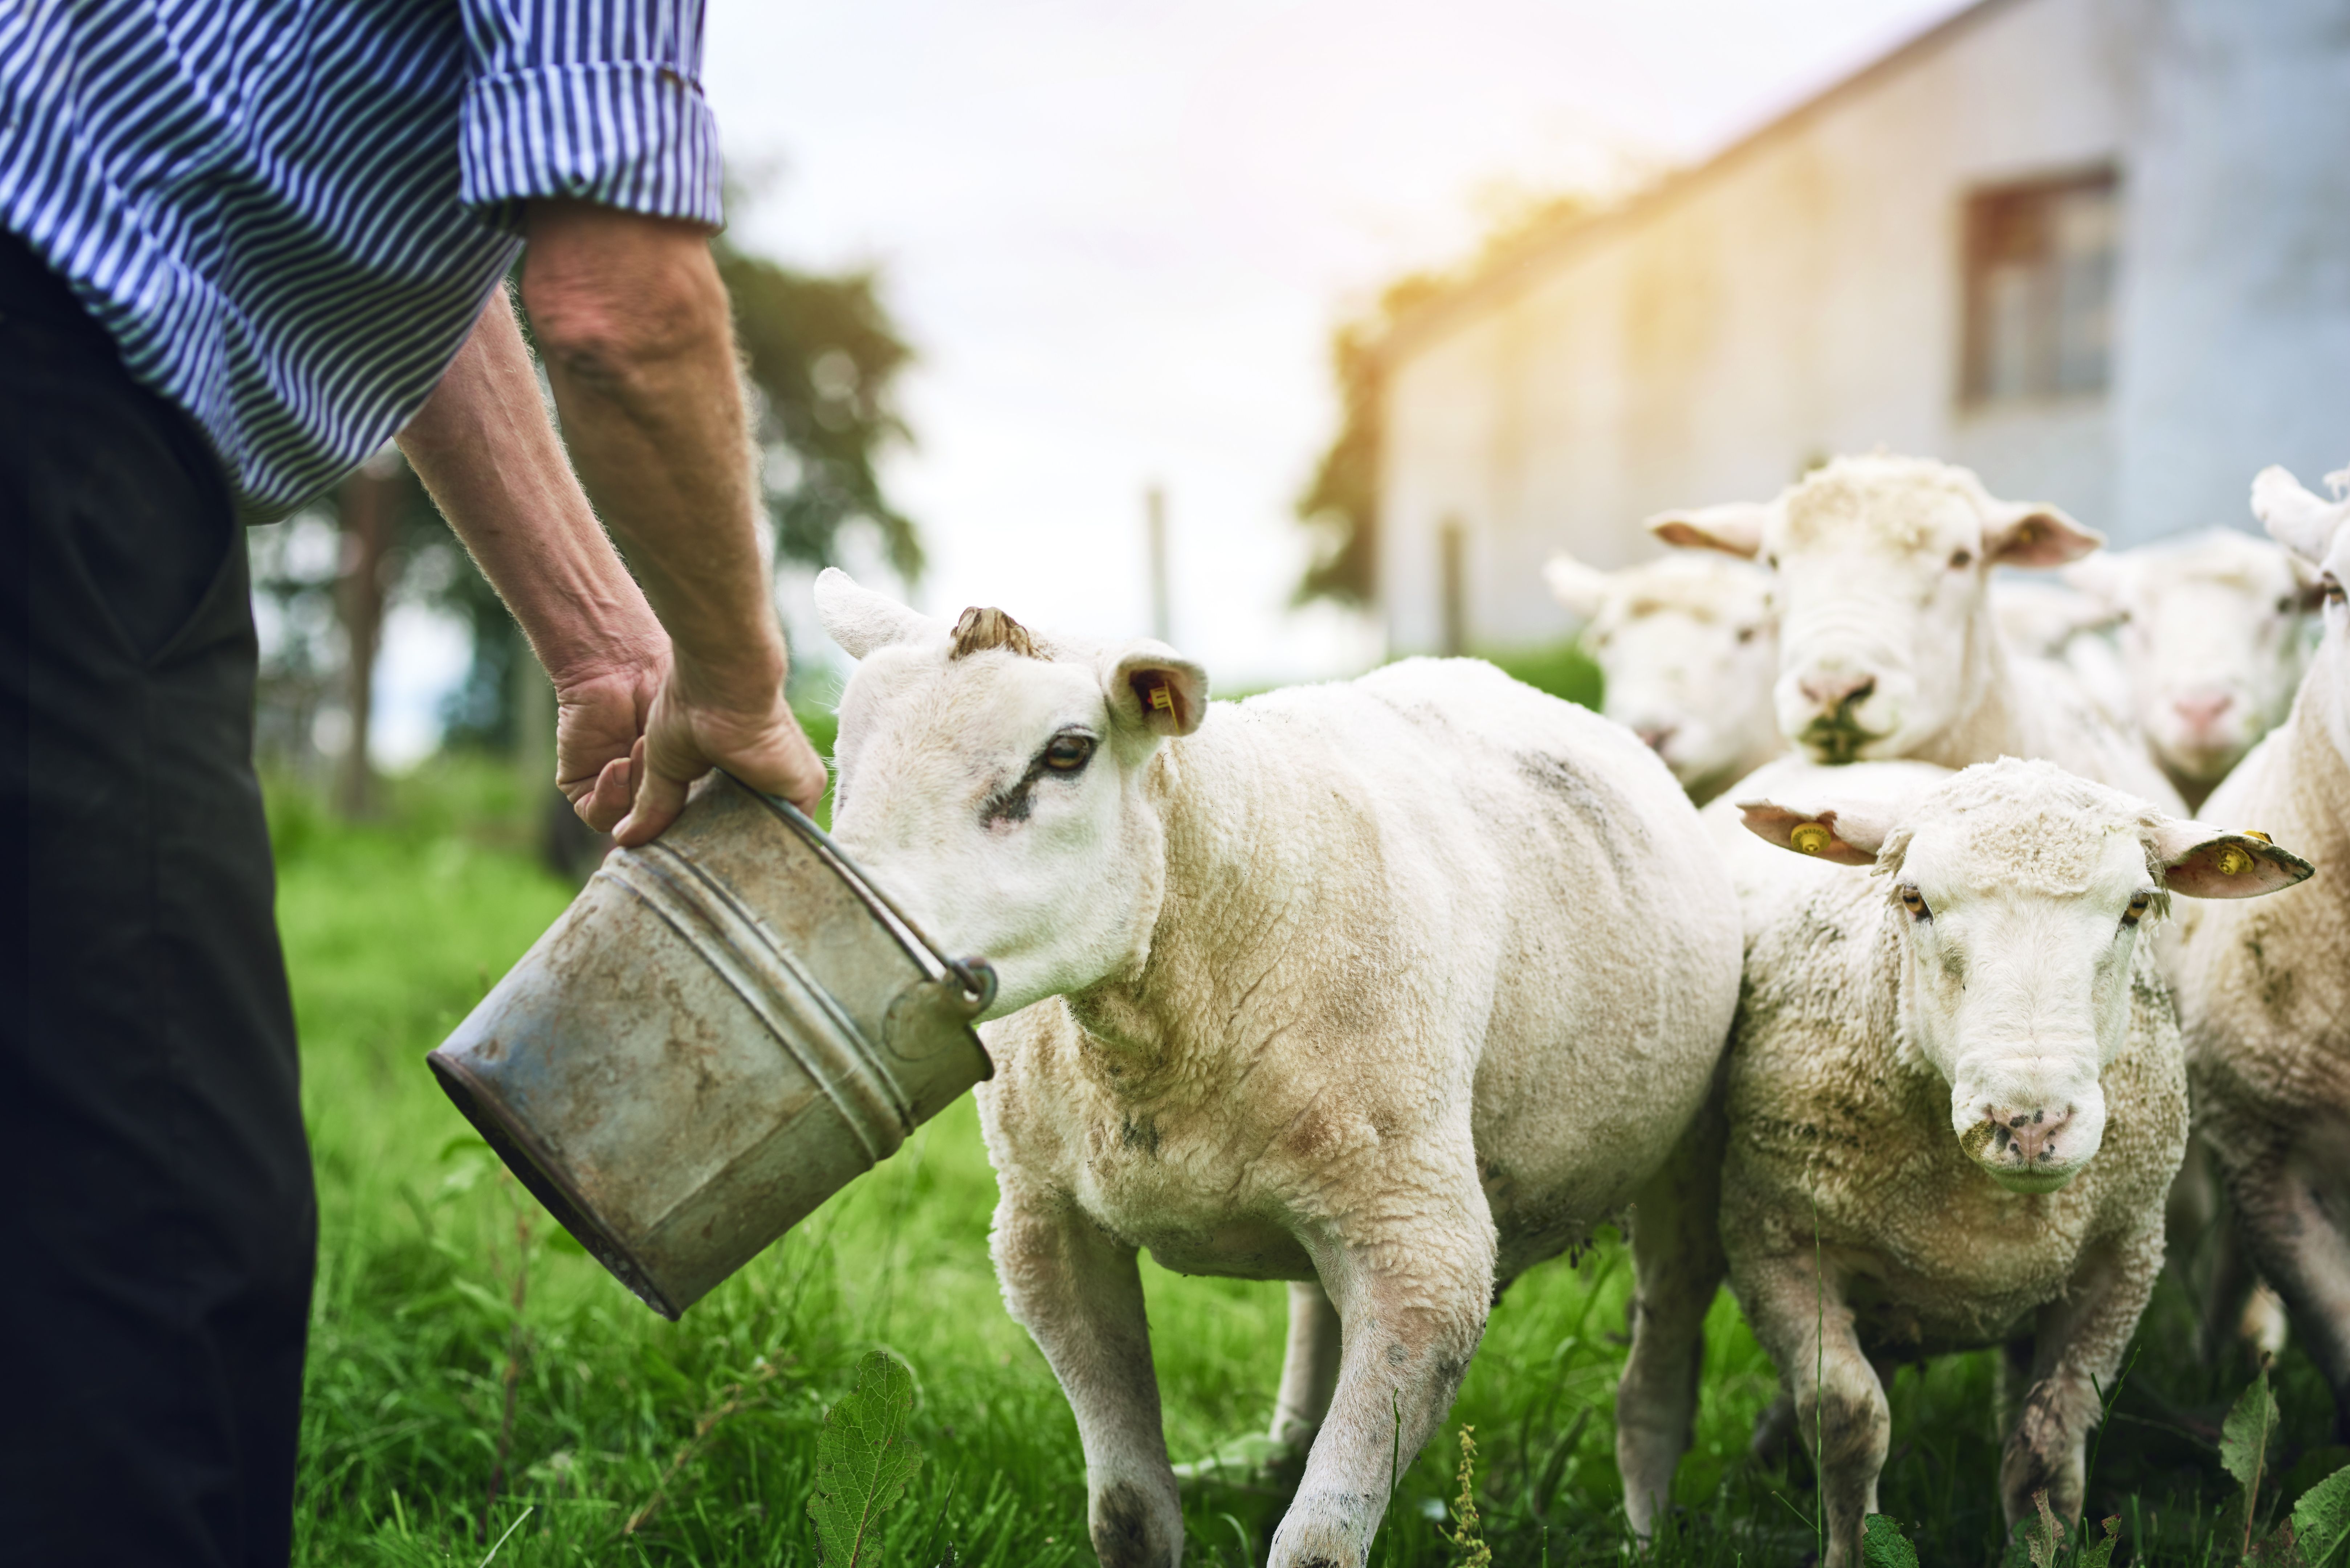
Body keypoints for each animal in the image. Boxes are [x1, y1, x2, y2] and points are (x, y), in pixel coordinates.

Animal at [811, 570, 1744, 1568]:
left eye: (1065, 754)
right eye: (844, 758)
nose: (849, 944)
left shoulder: (1424, 1260)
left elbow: (1318, 1547)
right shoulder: (1045, 1233)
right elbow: (1127, 1517)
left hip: (1683, 1155)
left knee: (1660, 1357)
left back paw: (1644, 1529)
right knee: (1313, 1304)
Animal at [1698, 755, 2310, 1567]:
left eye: (2135, 907)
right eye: (1913, 900)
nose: (2028, 1125)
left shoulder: (2119, 1264)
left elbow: (2043, 1454)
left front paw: (2039, 1547)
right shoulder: (1774, 1245)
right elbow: (1850, 1420)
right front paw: (1850, 1545)